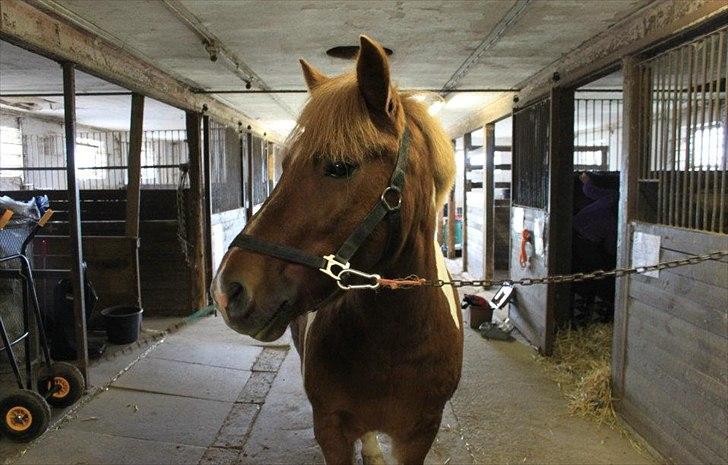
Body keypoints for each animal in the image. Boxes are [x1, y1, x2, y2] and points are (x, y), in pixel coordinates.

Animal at [211, 35, 463, 465]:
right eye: (285, 165)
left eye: (340, 167)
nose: (227, 291)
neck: (394, 344)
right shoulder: (331, 429)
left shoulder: (420, 434)